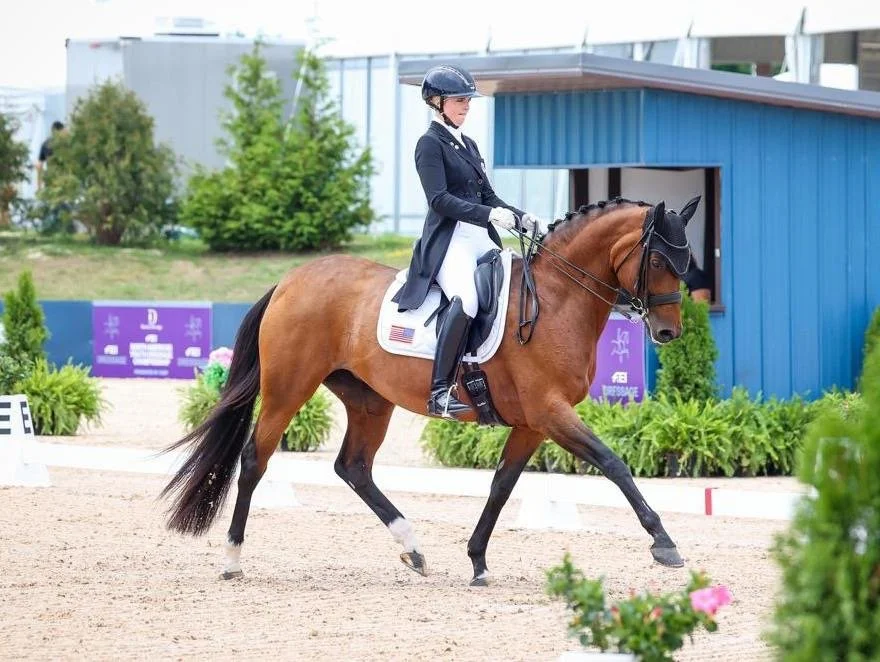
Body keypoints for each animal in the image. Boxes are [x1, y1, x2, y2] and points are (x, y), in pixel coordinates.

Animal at [159, 195, 700, 586]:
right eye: (657, 259)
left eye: (686, 259)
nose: (668, 333)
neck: (556, 299)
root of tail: (290, 280)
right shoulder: (551, 411)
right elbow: (613, 463)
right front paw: (665, 543)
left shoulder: (533, 422)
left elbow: (502, 485)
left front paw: (478, 561)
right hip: (288, 388)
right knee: (256, 459)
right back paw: (232, 559)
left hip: (369, 400)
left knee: (353, 467)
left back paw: (413, 549)